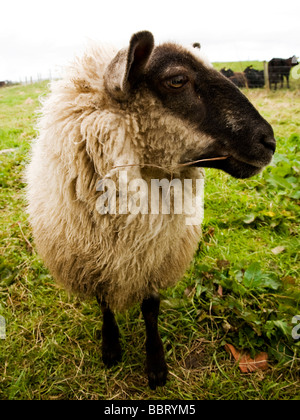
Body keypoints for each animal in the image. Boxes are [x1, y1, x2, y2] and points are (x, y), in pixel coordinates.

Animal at [26, 30, 276, 390]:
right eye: (177, 80)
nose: (269, 142)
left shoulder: (155, 256)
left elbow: (150, 308)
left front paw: (156, 365)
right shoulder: (91, 257)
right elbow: (104, 303)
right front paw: (110, 347)